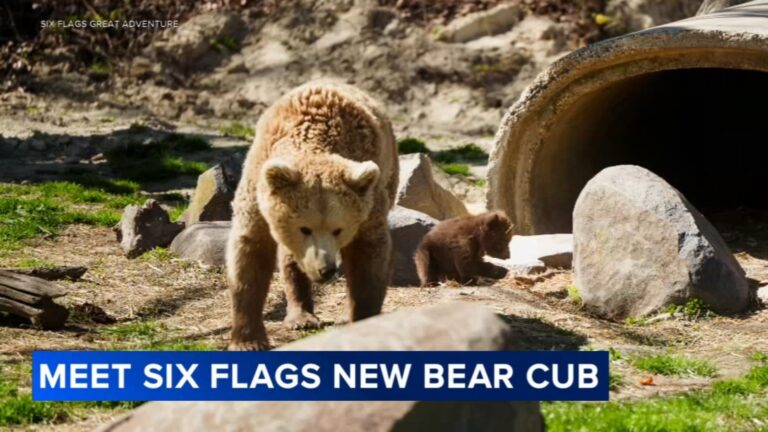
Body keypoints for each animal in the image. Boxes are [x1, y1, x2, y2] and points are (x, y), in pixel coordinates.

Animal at [226, 81, 398, 351]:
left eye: (338, 229)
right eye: (304, 228)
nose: (325, 269)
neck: (316, 140)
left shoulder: (369, 205)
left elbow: (368, 257)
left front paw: (362, 320)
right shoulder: (257, 191)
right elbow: (249, 254)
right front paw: (247, 340)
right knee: (289, 258)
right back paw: (301, 316)